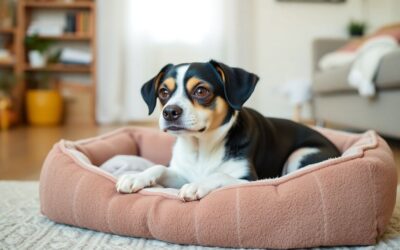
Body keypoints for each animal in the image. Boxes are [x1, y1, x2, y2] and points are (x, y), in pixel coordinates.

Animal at [112, 60, 340, 201]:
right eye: (163, 92)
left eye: (201, 91)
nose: (170, 112)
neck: (200, 149)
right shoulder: (181, 173)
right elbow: (158, 167)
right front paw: (135, 177)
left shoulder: (249, 179)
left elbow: (220, 175)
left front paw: (198, 185)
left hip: (299, 155)